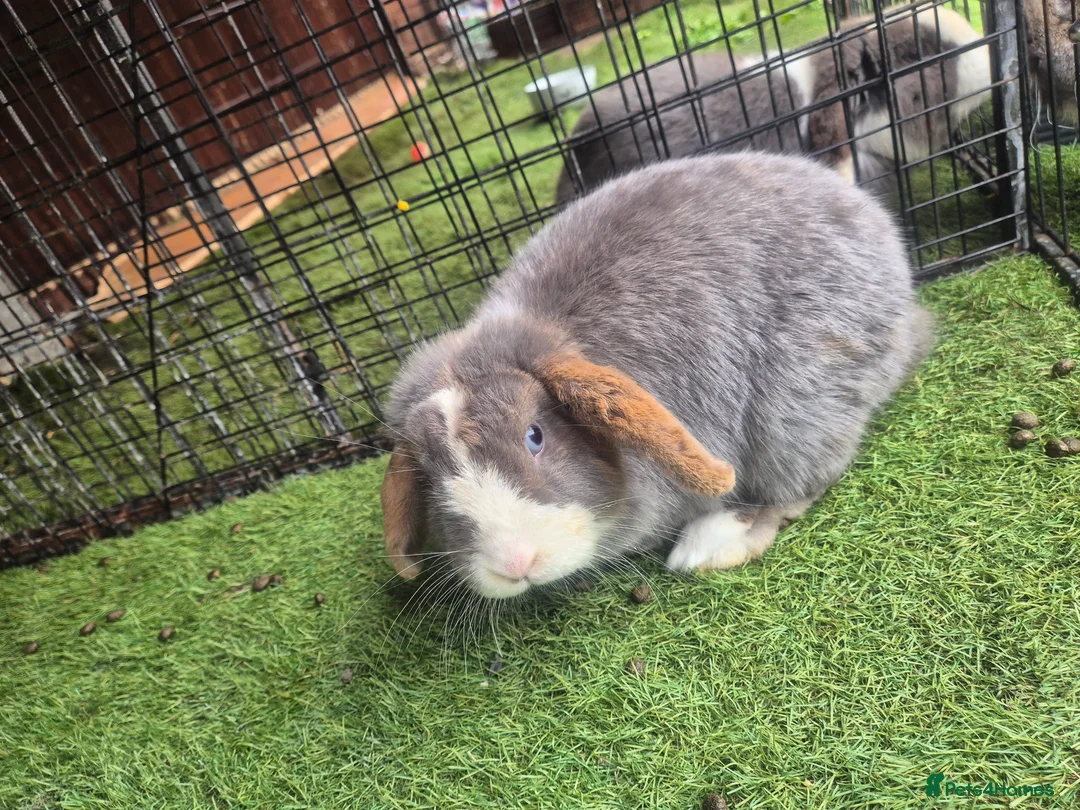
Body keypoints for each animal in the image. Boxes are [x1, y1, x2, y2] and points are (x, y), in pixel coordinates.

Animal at [381, 153, 934, 599]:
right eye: (429, 478)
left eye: (534, 435)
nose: (515, 562)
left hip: (800, 404)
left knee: (798, 484)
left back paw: (709, 543)